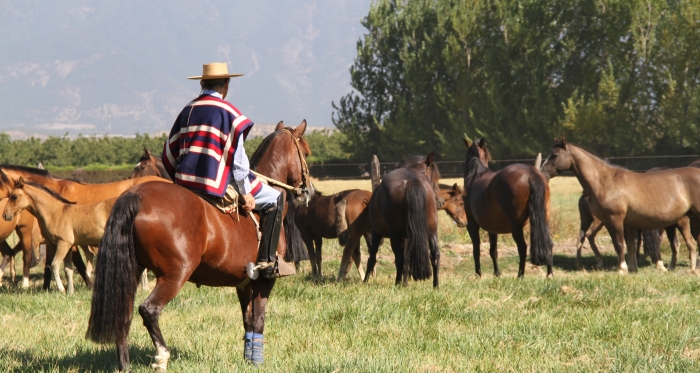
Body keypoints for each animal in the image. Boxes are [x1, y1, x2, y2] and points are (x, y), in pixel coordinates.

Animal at [86, 120, 314, 370]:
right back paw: (162, 356)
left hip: (132, 272)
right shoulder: (264, 281)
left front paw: (248, 358)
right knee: (149, 310)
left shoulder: (244, 283)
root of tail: (136, 195)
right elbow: (258, 319)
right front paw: (257, 362)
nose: (309, 190)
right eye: (305, 153)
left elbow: (247, 320)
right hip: (174, 275)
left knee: (123, 314)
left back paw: (125, 365)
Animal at [364, 153, 440, 286]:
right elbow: (407, 259)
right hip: (431, 230)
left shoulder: (377, 232)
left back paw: (397, 283)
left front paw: (365, 281)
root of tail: (412, 180)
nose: (441, 201)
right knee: (435, 255)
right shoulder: (406, 237)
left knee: (399, 258)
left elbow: (372, 257)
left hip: (394, 234)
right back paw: (435, 285)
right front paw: (405, 283)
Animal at [462, 138, 556, 278]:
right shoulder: (492, 228)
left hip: (516, 226)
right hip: (544, 219)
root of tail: (532, 173)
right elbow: (493, 250)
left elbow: (476, 250)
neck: (476, 176)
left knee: (522, 247)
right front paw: (497, 273)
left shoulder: (472, 225)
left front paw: (478, 274)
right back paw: (549, 274)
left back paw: (520, 275)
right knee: (548, 243)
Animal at [540, 140, 700, 274]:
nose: (542, 173)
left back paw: (692, 270)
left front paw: (622, 269)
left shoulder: (616, 219)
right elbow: (626, 246)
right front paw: (632, 268)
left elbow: (620, 244)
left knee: (691, 243)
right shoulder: (611, 222)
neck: (605, 181)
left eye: (554, 155)